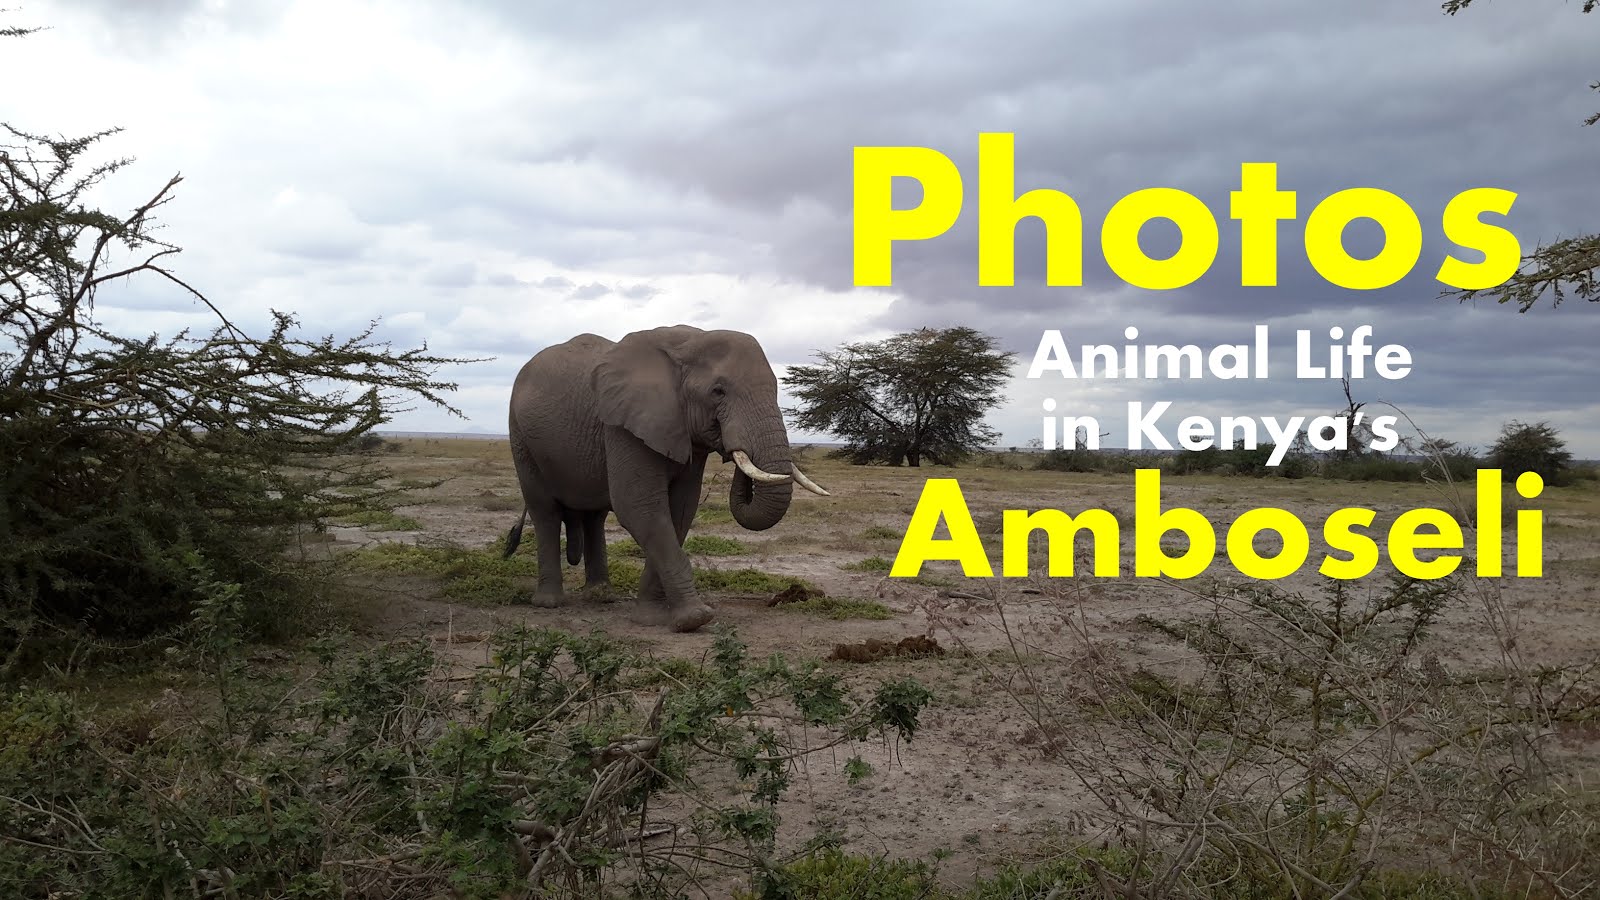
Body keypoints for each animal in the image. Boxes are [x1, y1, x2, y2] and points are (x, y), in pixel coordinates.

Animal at [502, 323, 832, 630]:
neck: (687, 343)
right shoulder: (624, 424)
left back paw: (600, 597)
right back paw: (549, 603)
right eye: (718, 391)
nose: (731, 449)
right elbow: (640, 508)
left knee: (594, 516)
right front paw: (695, 619)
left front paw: (652, 618)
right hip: (520, 435)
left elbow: (679, 512)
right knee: (544, 512)